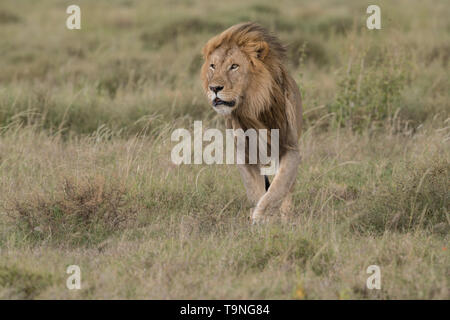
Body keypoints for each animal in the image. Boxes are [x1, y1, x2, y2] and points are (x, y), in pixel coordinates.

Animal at [201, 22, 302, 224]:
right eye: (213, 66)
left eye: (234, 66)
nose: (214, 88)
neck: (252, 109)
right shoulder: (245, 155)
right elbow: (256, 191)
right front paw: (259, 219)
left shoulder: (291, 148)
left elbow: (278, 187)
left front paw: (263, 215)